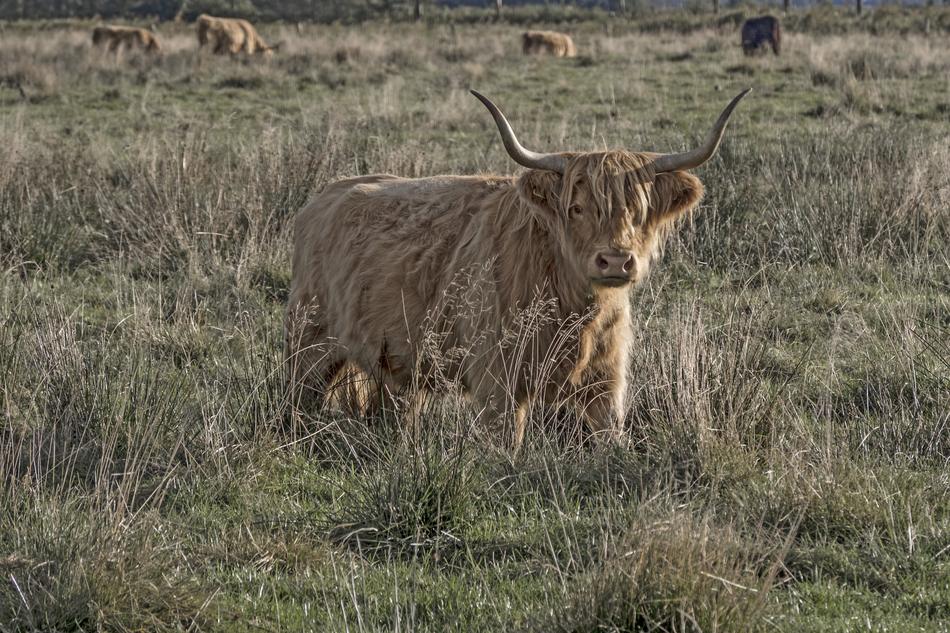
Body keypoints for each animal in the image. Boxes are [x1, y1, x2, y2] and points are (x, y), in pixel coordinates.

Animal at [285, 89, 750, 450]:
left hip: (397, 360)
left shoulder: (606, 380)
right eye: (576, 208)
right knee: (296, 400)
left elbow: (610, 437)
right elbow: (507, 443)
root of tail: (323, 196)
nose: (616, 260)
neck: (573, 305)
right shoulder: (498, 379)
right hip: (308, 344)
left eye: (637, 210)